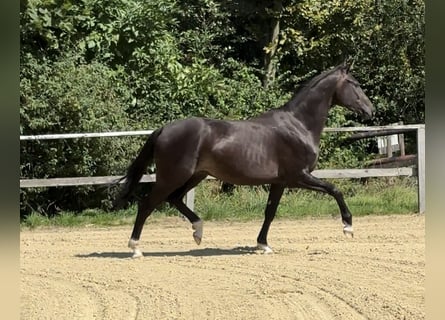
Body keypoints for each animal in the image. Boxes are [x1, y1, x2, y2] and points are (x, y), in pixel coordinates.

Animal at [116, 62, 372, 258]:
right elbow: (335, 189)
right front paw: (348, 226)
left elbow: (270, 212)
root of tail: (163, 129)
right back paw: (135, 249)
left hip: (195, 175)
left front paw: (263, 245)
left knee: (175, 199)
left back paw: (198, 232)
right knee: (147, 204)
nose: (371, 110)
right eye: (355, 84)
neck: (299, 126)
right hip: (173, 176)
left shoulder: (280, 182)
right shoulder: (299, 176)